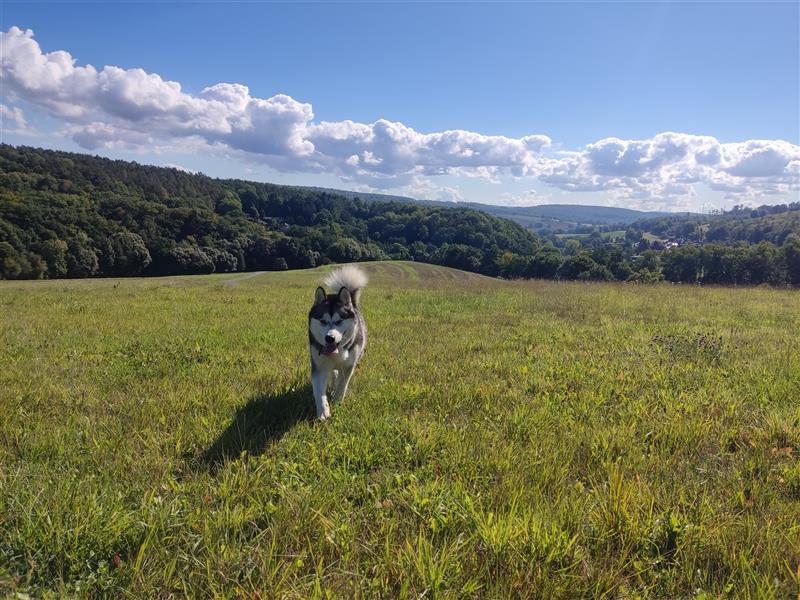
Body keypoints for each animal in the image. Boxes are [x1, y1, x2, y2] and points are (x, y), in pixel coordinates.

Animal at [306, 264, 368, 420]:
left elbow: (343, 384)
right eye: (323, 321)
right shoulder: (318, 367)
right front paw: (323, 411)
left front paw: (337, 400)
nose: (330, 338)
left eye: (339, 321)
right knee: (334, 373)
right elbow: (319, 392)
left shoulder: (349, 365)